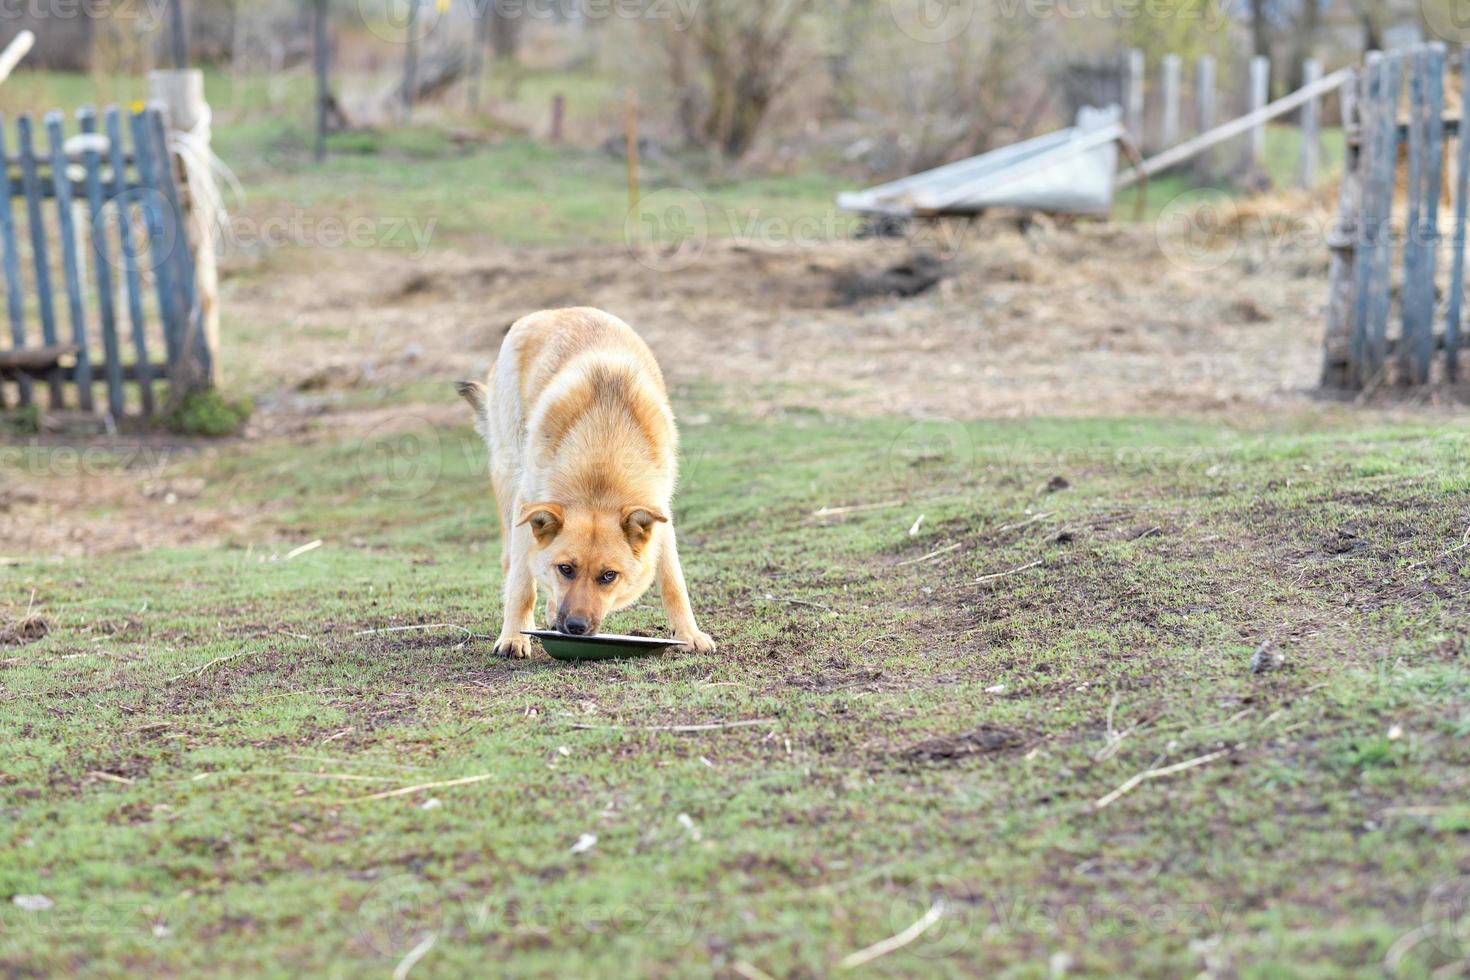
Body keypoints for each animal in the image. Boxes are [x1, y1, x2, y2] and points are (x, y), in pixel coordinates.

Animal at [455, 307, 714, 658]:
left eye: (608, 576)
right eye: (566, 569)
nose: (575, 628)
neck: (600, 472)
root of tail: (553, 311)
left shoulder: (660, 516)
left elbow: (674, 582)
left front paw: (689, 634)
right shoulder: (528, 504)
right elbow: (522, 585)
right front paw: (514, 637)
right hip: (510, 474)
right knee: (513, 561)